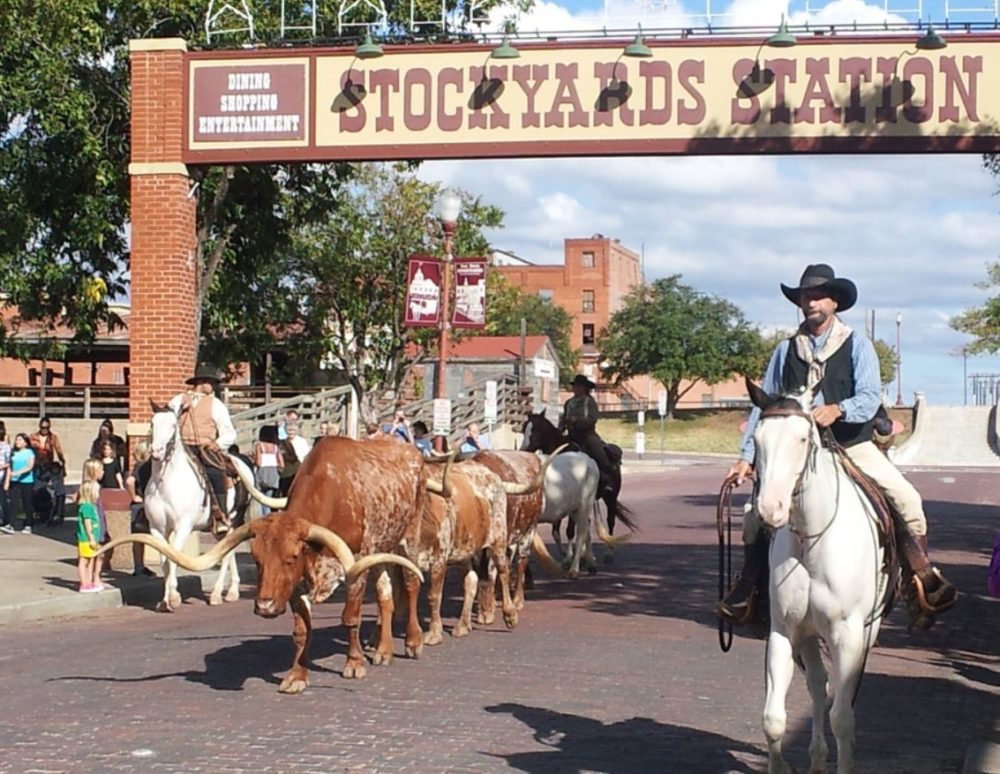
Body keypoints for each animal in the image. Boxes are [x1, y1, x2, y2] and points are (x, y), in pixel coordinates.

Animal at [141, 404, 272, 616]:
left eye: (173, 425)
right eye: (152, 423)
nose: (157, 451)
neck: (165, 482)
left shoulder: (183, 527)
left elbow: (173, 558)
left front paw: (174, 597)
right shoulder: (156, 529)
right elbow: (164, 561)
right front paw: (165, 600)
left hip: (234, 520)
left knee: (227, 554)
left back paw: (217, 594)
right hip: (219, 528)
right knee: (227, 551)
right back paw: (233, 591)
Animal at [752, 384, 892, 774]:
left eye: (802, 438)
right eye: (756, 439)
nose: (770, 509)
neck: (810, 540)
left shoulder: (848, 634)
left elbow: (842, 717)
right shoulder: (785, 630)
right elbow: (773, 719)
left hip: (865, 630)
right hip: (810, 635)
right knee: (817, 685)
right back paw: (816, 759)